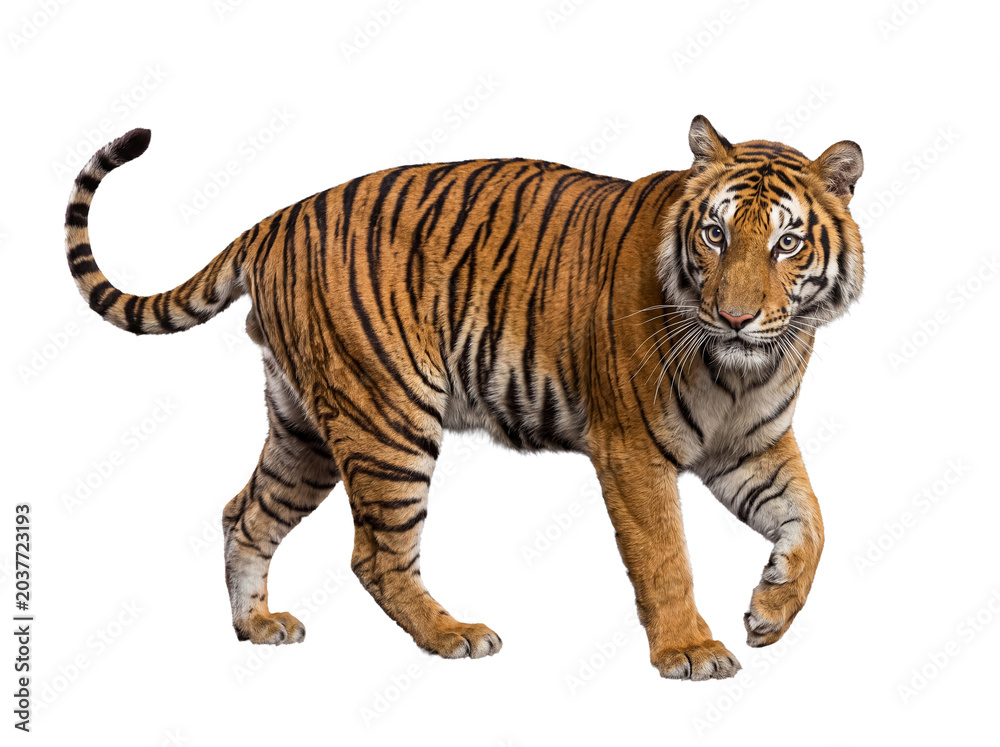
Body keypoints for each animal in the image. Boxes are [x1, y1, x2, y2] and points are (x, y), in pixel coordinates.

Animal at [64, 115, 863, 681]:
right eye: (715, 233)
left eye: (787, 243)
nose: (735, 317)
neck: (746, 368)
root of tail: (276, 220)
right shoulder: (631, 449)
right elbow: (666, 554)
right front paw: (690, 651)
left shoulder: (752, 447)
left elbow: (815, 524)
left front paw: (770, 609)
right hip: (388, 417)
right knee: (375, 554)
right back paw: (453, 634)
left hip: (304, 431)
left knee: (245, 512)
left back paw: (257, 626)